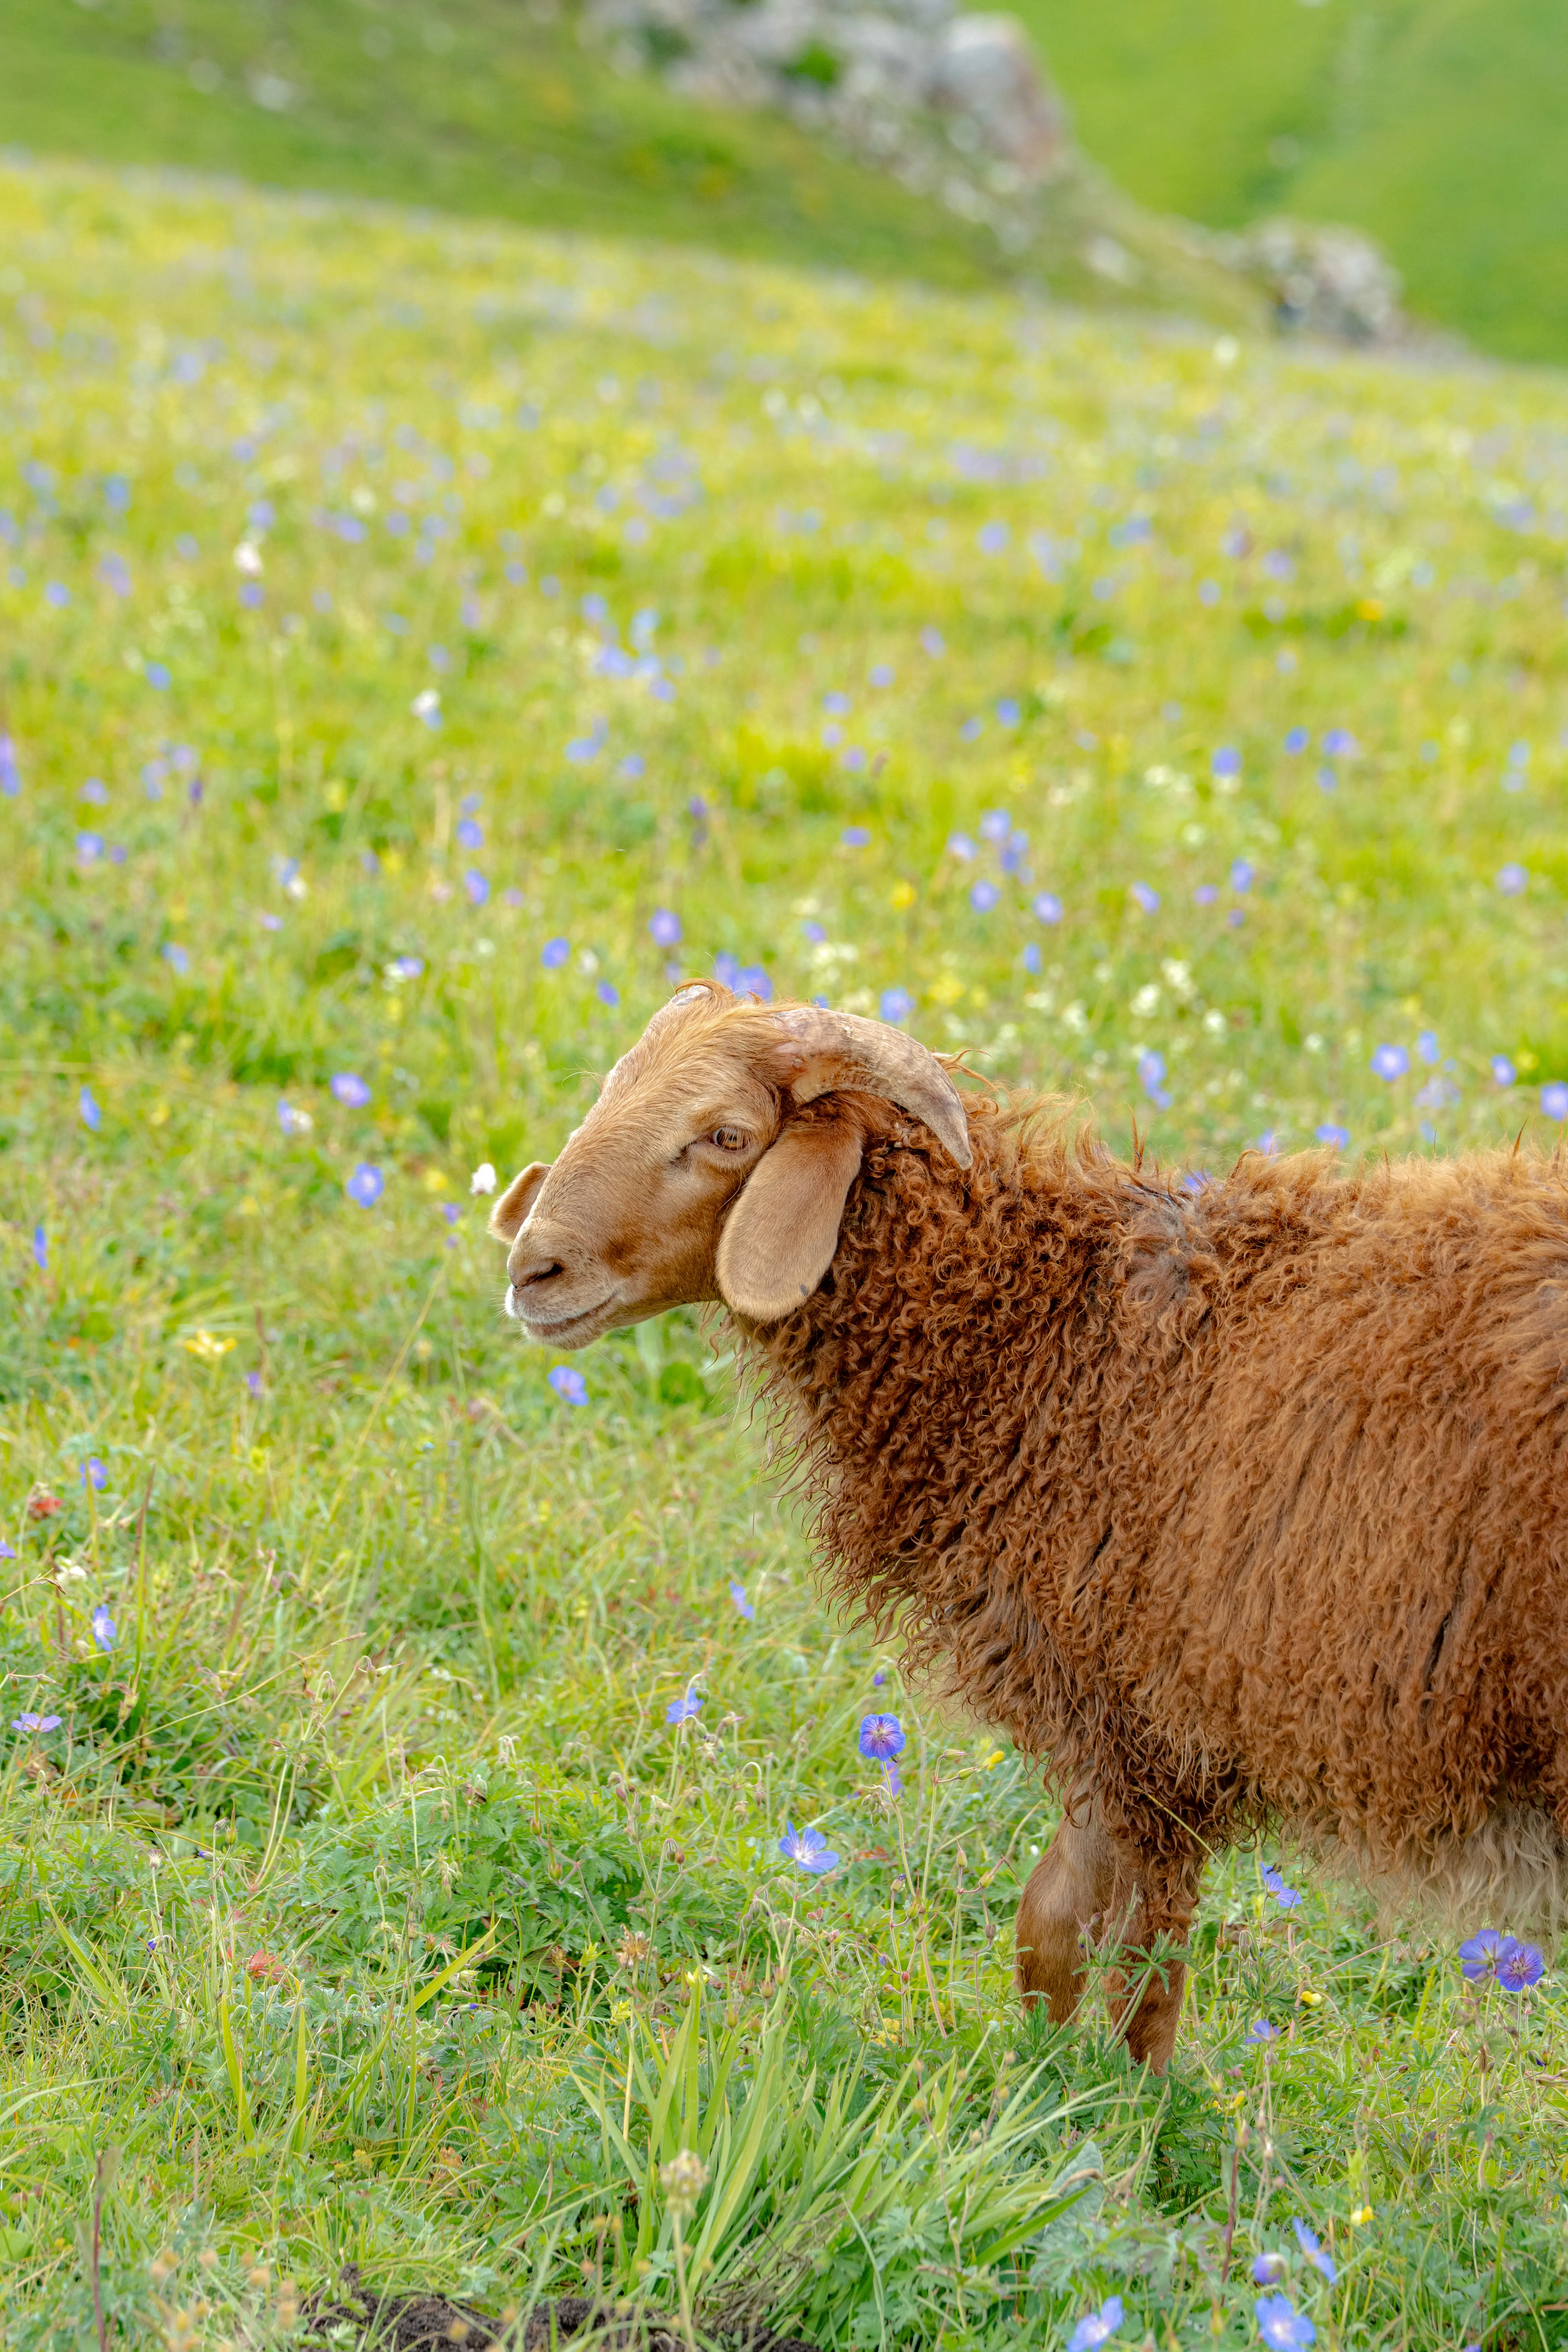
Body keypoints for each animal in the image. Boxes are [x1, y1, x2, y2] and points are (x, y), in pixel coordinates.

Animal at [491, 980, 1568, 2069]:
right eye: (615, 1086)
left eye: (725, 1135)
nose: (534, 1269)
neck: (1040, 1336)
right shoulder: (1128, 1734)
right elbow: (1073, 1939)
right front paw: (1059, 2087)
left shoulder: (1135, 1726)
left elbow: (1107, 1956)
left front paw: (1099, 2102)